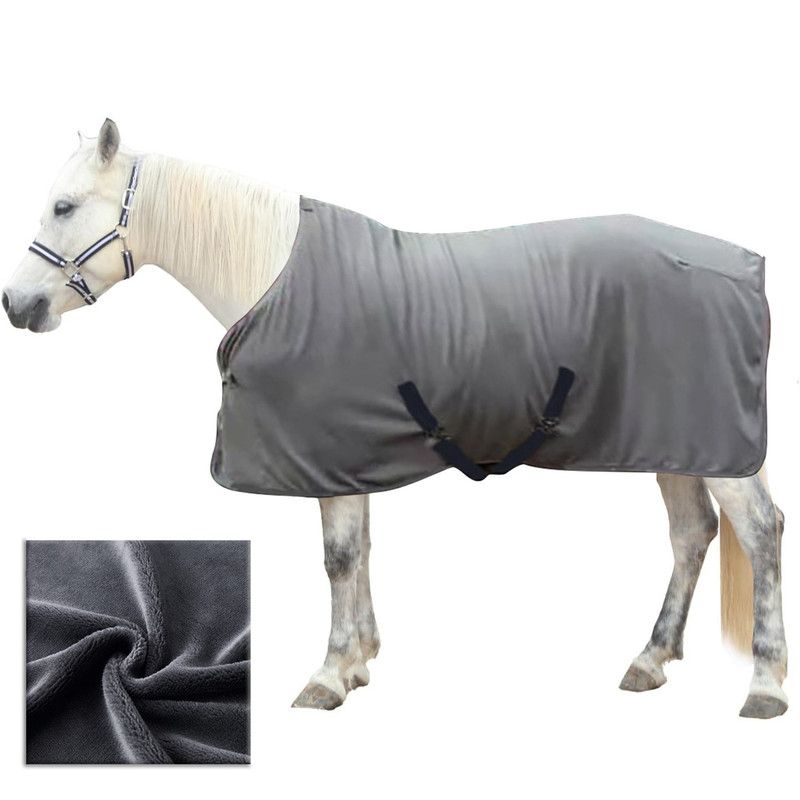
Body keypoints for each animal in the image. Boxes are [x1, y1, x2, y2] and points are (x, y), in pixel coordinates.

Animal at [3, 119, 788, 718]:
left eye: (65, 207)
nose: (16, 304)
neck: (273, 273)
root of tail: (748, 267)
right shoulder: (352, 456)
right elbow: (359, 555)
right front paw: (357, 663)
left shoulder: (328, 458)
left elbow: (338, 558)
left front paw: (327, 676)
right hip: (675, 443)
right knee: (691, 534)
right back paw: (650, 660)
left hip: (714, 451)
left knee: (760, 532)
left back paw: (765, 687)